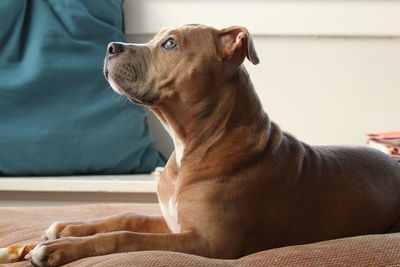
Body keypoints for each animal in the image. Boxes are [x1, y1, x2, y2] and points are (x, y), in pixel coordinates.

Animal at [25, 24, 400, 267]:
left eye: (170, 44)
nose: (111, 47)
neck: (193, 145)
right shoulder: (174, 222)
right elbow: (129, 216)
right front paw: (69, 229)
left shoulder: (208, 242)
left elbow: (126, 237)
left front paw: (62, 248)